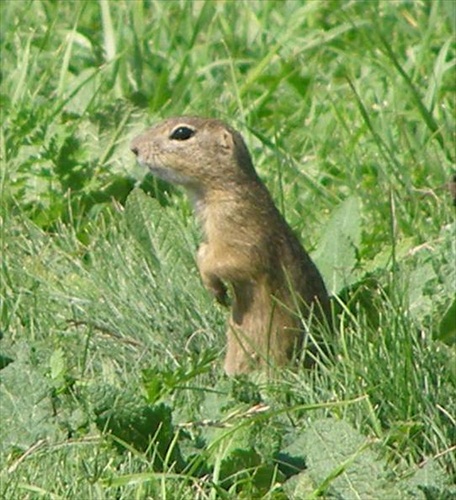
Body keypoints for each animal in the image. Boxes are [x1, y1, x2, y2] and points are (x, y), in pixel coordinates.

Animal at [130, 117, 330, 376]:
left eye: (182, 133)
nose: (134, 147)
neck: (221, 189)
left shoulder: (236, 226)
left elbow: (231, 260)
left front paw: (214, 287)